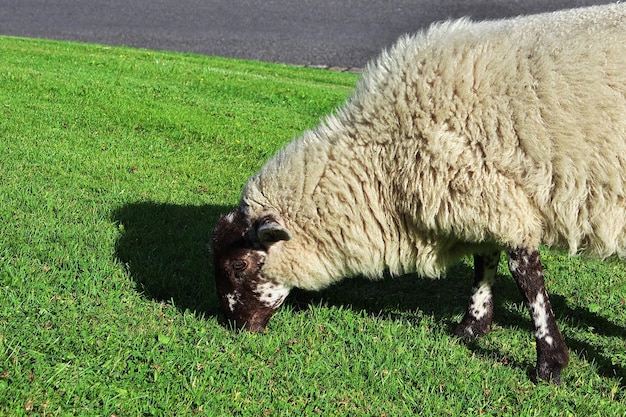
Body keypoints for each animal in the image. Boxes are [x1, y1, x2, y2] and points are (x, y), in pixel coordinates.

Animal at [210, 3, 624, 386]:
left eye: (239, 265)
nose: (235, 327)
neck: (382, 156)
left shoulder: (494, 193)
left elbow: (526, 278)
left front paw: (550, 363)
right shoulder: (478, 195)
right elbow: (485, 260)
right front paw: (472, 327)